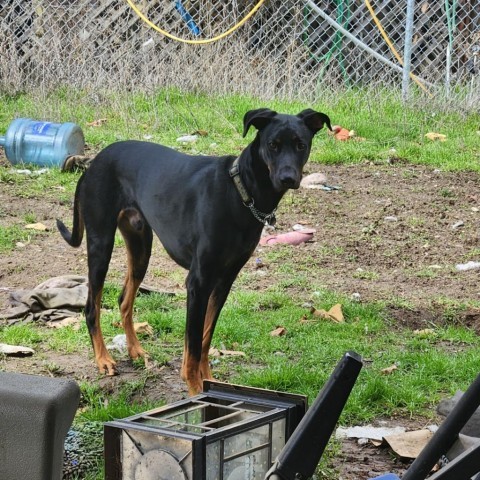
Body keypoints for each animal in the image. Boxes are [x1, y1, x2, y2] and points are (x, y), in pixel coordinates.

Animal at [56, 108, 330, 394]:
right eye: (273, 145)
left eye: (301, 145)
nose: (288, 178)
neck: (240, 192)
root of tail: (94, 162)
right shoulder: (198, 282)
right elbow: (195, 344)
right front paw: (196, 389)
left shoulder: (224, 281)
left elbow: (205, 338)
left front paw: (207, 380)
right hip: (101, 244)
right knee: (92, 307)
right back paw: (103, 359)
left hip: (140, 245)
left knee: (124, 299)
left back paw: (135, 350)